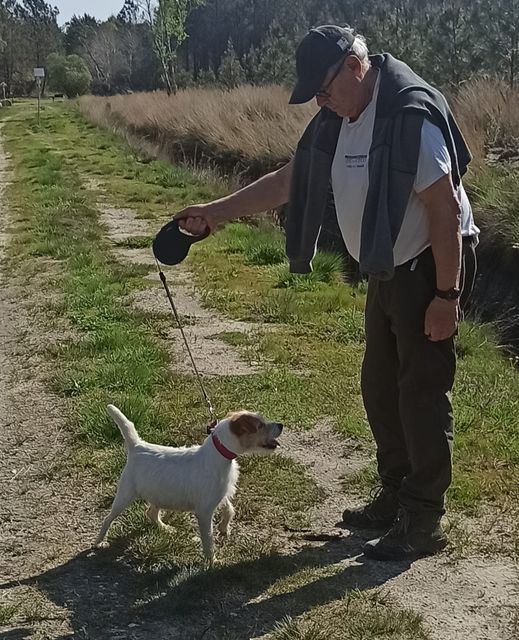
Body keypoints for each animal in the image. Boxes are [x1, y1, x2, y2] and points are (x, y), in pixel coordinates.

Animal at [95, 404, 282, 560]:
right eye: (260, 426)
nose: (281, 425)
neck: (217, 454)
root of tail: (137, 446)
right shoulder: (204, 512)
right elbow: (208, 539)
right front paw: (211, 561)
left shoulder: (221, 495)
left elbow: (229, 509)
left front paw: (224, 527)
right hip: (125, 495)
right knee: (108, 519)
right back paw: (99, 541)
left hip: (159, 494)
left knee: (151, 513)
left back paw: (165, 528)